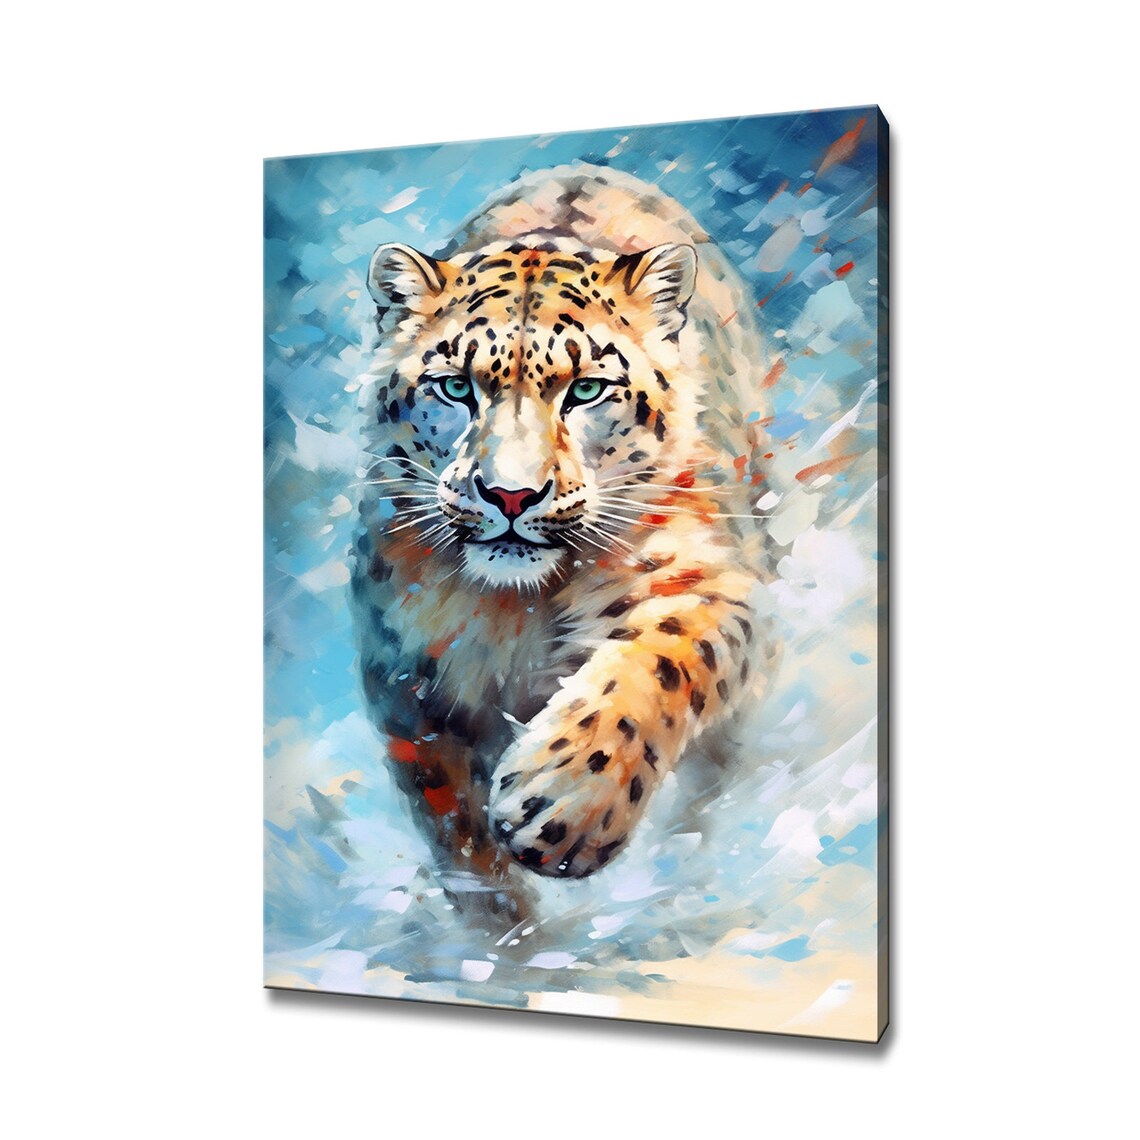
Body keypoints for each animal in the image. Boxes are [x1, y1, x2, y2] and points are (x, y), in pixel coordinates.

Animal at [349, 164, 779, 908]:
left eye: (585, 390)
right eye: (454, 386)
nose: (510, 493)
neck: (513, 610)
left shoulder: (705, 578)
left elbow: (664, 656)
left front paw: (567, 802)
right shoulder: (407, 682)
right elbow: (454, 829)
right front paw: (501, 916)